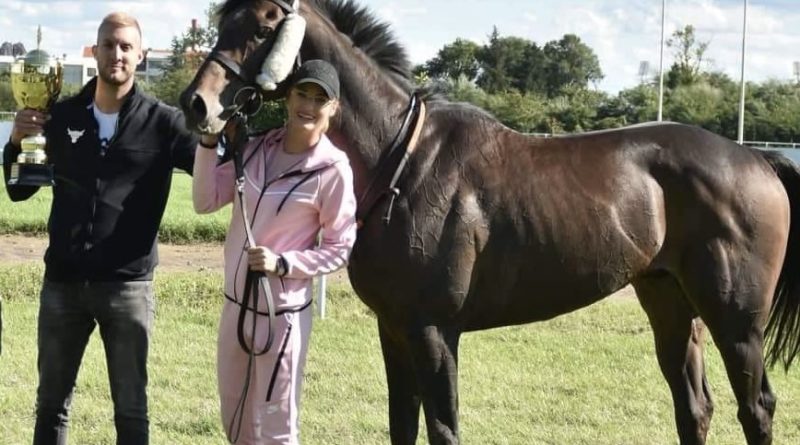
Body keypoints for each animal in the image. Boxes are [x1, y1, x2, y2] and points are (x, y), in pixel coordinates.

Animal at [178, 1, 800, 444]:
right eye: (223, 19)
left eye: (265, 22)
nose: (197, 104)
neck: (403, 161)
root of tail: (755, 159)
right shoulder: (394, 330)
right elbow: (402, 426)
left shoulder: (433, 331)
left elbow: (443, 428)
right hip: (670, 303)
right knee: (694, 408)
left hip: (736, 322)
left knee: (756, 408)